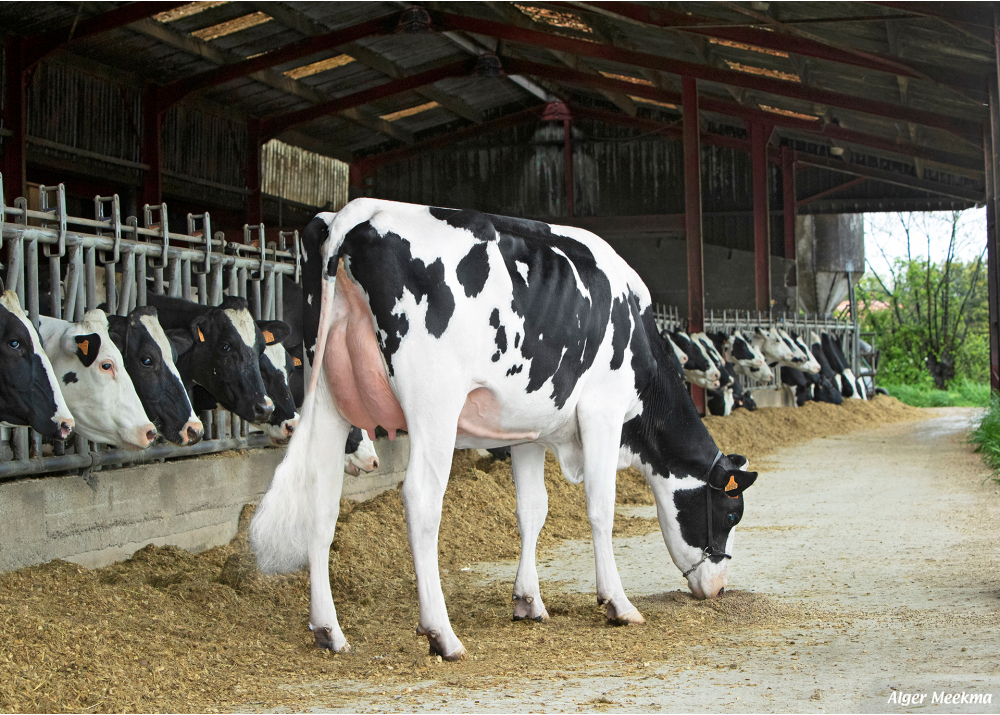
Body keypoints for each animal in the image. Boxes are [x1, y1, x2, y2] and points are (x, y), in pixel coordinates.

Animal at [252, 199, 756, 664]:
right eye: (732, 514)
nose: (718, 588)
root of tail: (357, 212)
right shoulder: (603, 411)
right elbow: (600, 507)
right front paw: (618, 603)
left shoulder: (524, 429)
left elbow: (532, 509)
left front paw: (528, 601)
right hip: (433, 401)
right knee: (421, 499)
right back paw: (442, 634)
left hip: (329, 397)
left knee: (322, 500)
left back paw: (328, 630)